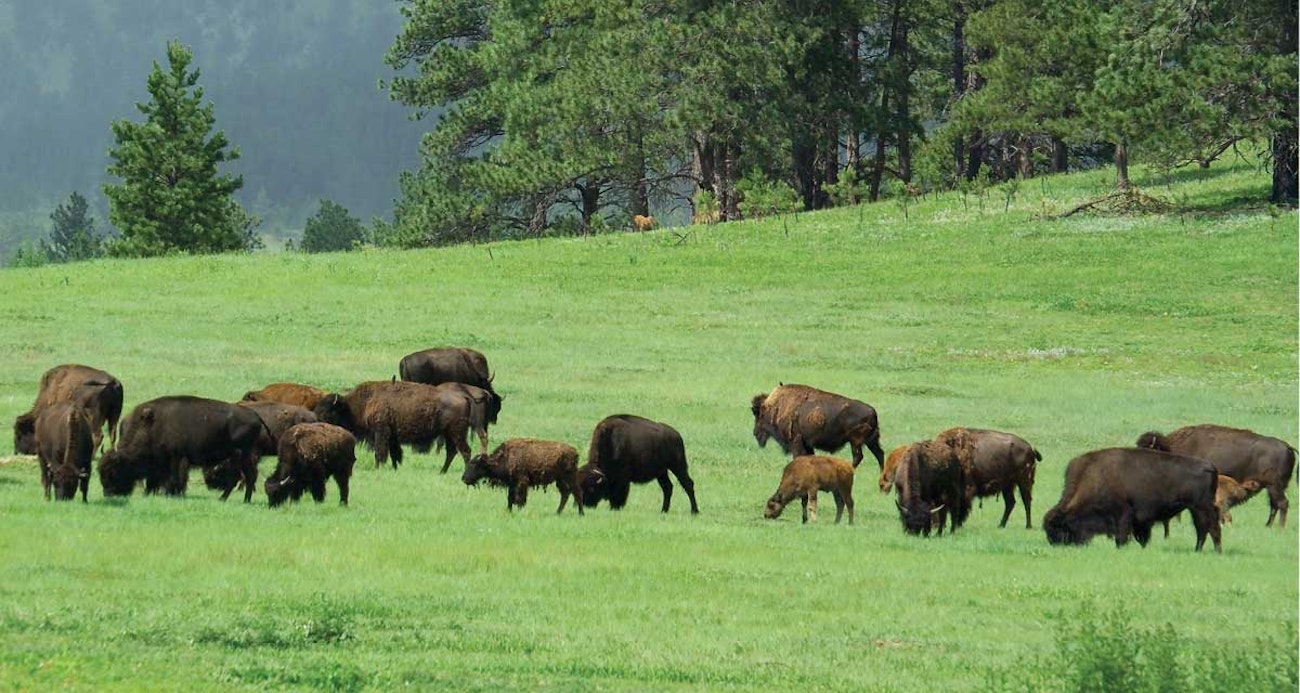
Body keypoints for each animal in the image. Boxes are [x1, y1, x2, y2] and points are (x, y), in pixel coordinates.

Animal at [98, 395, 269, 501]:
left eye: (115, 470)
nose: (108, 493)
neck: (149, 427)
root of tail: (255, 416)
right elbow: (154, 481)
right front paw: (150, 494)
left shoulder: (176, 458)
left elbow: (174, 478)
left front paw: (173, 494)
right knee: (246, 476)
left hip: (241, 454)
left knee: (244, 476)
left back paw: (232, 499)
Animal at [310, 382, 478, 473]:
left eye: (327, 413)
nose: (319, 427)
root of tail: (464, 396)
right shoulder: (391, 437)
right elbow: (394, 454)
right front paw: (394, 468)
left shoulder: (380, 432)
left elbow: (380, 453)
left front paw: (377, 468)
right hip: (449, 433)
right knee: (452, 452)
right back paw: (442, 472)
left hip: (456, 432)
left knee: (465, 451)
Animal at [754, 382, 883, 468]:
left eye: (757, 415)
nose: (755, 433)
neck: (776, 407)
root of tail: (872, 411)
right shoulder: (807, 444)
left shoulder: (796, 442)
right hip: (870, 441)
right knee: (879, 454)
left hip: (856, 442)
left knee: (859, 457)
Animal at [1040, 447, 1222, 551]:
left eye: (1057, 528)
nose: (1055, 544)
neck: (1095, 476)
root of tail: (1210, 466)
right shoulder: (1139, 523)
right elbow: (1141, 537)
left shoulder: (1123, 515)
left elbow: (1121, 538)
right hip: (1195, 509)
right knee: (1203, 530)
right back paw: (1198, 550)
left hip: (1201, 507)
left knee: (1211, 529)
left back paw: (1213, 551)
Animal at [1138, 421, 1289, 530]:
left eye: (1148, 450)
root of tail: (1288, 448)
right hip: (1272, 488)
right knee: (1274, 505)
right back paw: (1268, 526)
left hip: (1274, 486)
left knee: (1282, 503)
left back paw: (1280, 528)